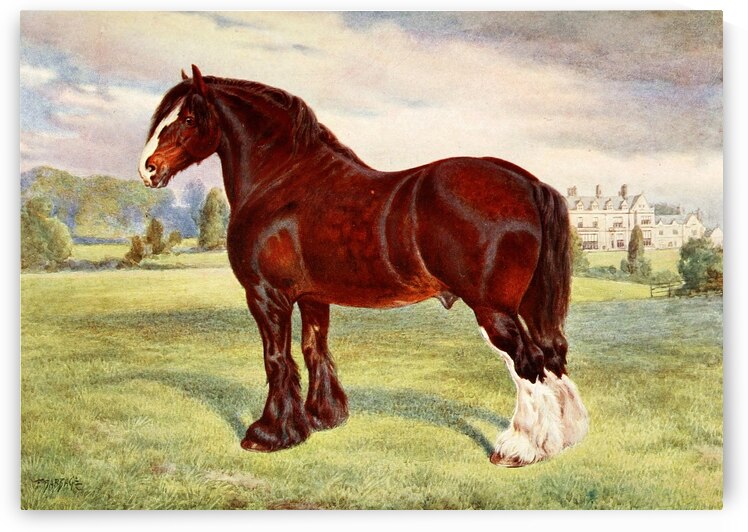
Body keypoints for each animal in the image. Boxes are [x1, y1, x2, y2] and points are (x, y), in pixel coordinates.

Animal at [138, 65, 588, 467]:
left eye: (188, 118)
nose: (148, 168)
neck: (283, 179)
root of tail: (528, 184)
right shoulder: (312, 297)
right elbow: (314, 349)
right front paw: (323, 417)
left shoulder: (267, 295)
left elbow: (277, 358)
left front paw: (269, 434)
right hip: (529, 305)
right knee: (552, 357)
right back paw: (563, 440)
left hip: (493, 310)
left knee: (527, 364)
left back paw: (519, 449)